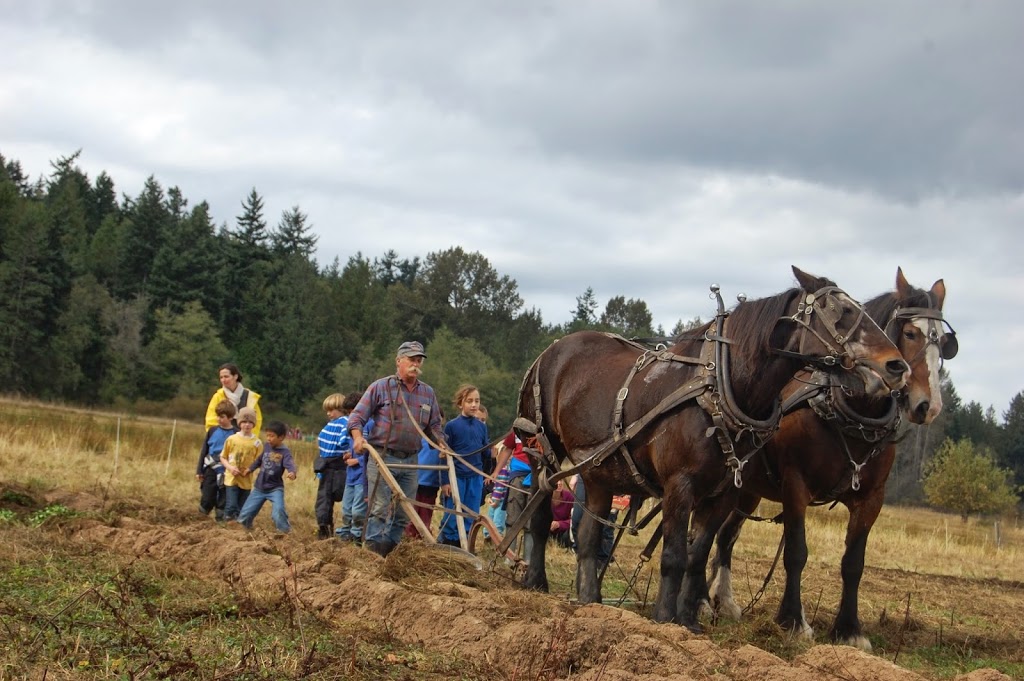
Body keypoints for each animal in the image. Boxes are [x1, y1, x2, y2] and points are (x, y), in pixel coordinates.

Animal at [516, 268, 909, 630]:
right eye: (841, 312)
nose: (896, 366)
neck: (720, 386)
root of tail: (552, 349)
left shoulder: (724, 494)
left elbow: (697, 556)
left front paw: (689, 620)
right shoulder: (679, 485)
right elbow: (674, 555)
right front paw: (664, 619)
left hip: (599, 472)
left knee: (587, 536)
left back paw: (591, 602)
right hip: (544, 452)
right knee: (539, 510)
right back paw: (536, 581)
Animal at [692, 266, 954, 647]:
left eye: (945, 343)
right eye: (910, 332)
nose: (927, 406)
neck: (848, 411)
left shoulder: (871, 499)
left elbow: (853, 562)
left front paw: (849, 629)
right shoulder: (795, 485)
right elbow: (796, 552)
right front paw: (792, 620)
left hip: (748, 490)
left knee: (725, 536)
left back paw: (723, 600)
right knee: (704, 532)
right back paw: (700, 599)